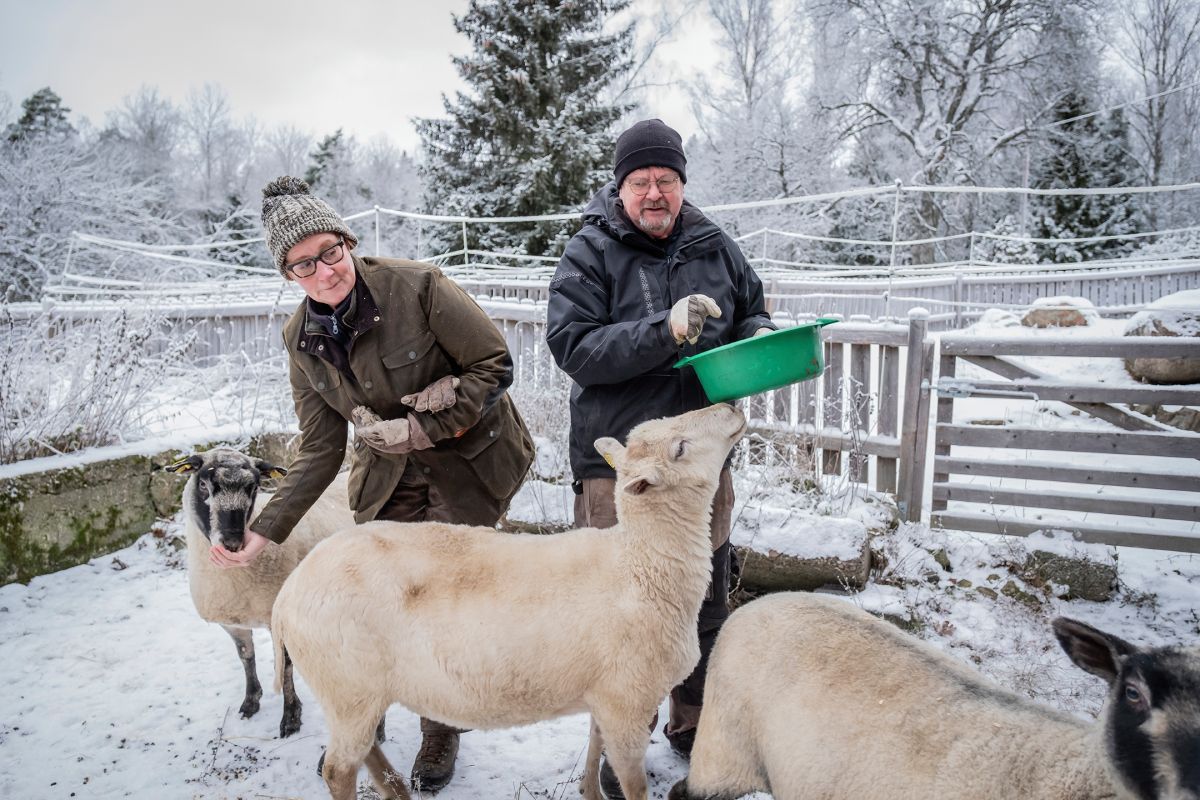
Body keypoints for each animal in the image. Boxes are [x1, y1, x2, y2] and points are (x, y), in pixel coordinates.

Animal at [169, 450, 355, 738]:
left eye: (254, 487)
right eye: (203, 484)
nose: (232, 543)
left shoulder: (279, 619)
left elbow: (285, 667)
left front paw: (291, 717)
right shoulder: (233, 623)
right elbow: (246, 657)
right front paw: (250, 701)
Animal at [270, 402, 748, 800]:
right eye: (680, 448)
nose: (730, 406)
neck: (641, 565)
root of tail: (288, 593)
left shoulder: (605, 699)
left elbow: (593, 756)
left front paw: (589, 792)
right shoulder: (628, 704)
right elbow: (632, 785)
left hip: (356, 696)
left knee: (366, 752)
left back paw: (398, 791)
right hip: (348, 689)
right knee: (338, 770)